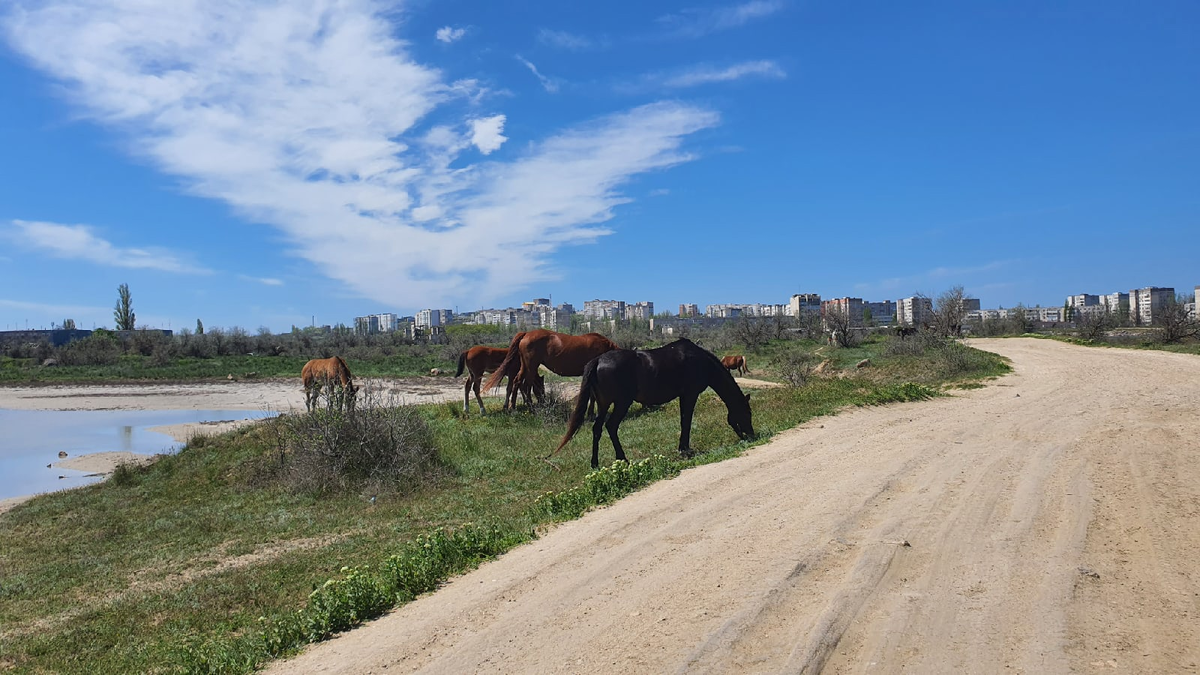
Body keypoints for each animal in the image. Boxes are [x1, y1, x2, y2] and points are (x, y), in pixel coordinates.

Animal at [480, 326, 619, 410]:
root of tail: (526, 334)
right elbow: (593, 395)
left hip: (525, 367)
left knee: (517, 382)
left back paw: (514, 407)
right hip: (530, 367)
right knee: (525, 385)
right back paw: (528, 408)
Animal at [549, 336, 753, 468]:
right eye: (747, 413)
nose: (750, 435)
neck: (701, 362)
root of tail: (598, 360)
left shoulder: (685, 396)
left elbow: (684, 420)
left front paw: (683, 448)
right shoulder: (690, 394)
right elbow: (686, 421)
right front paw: (685, 449)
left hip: (603, 404)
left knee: (597, 429)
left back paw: (595, 463)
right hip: (622, 402)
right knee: (611, 426)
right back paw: (623, 459)